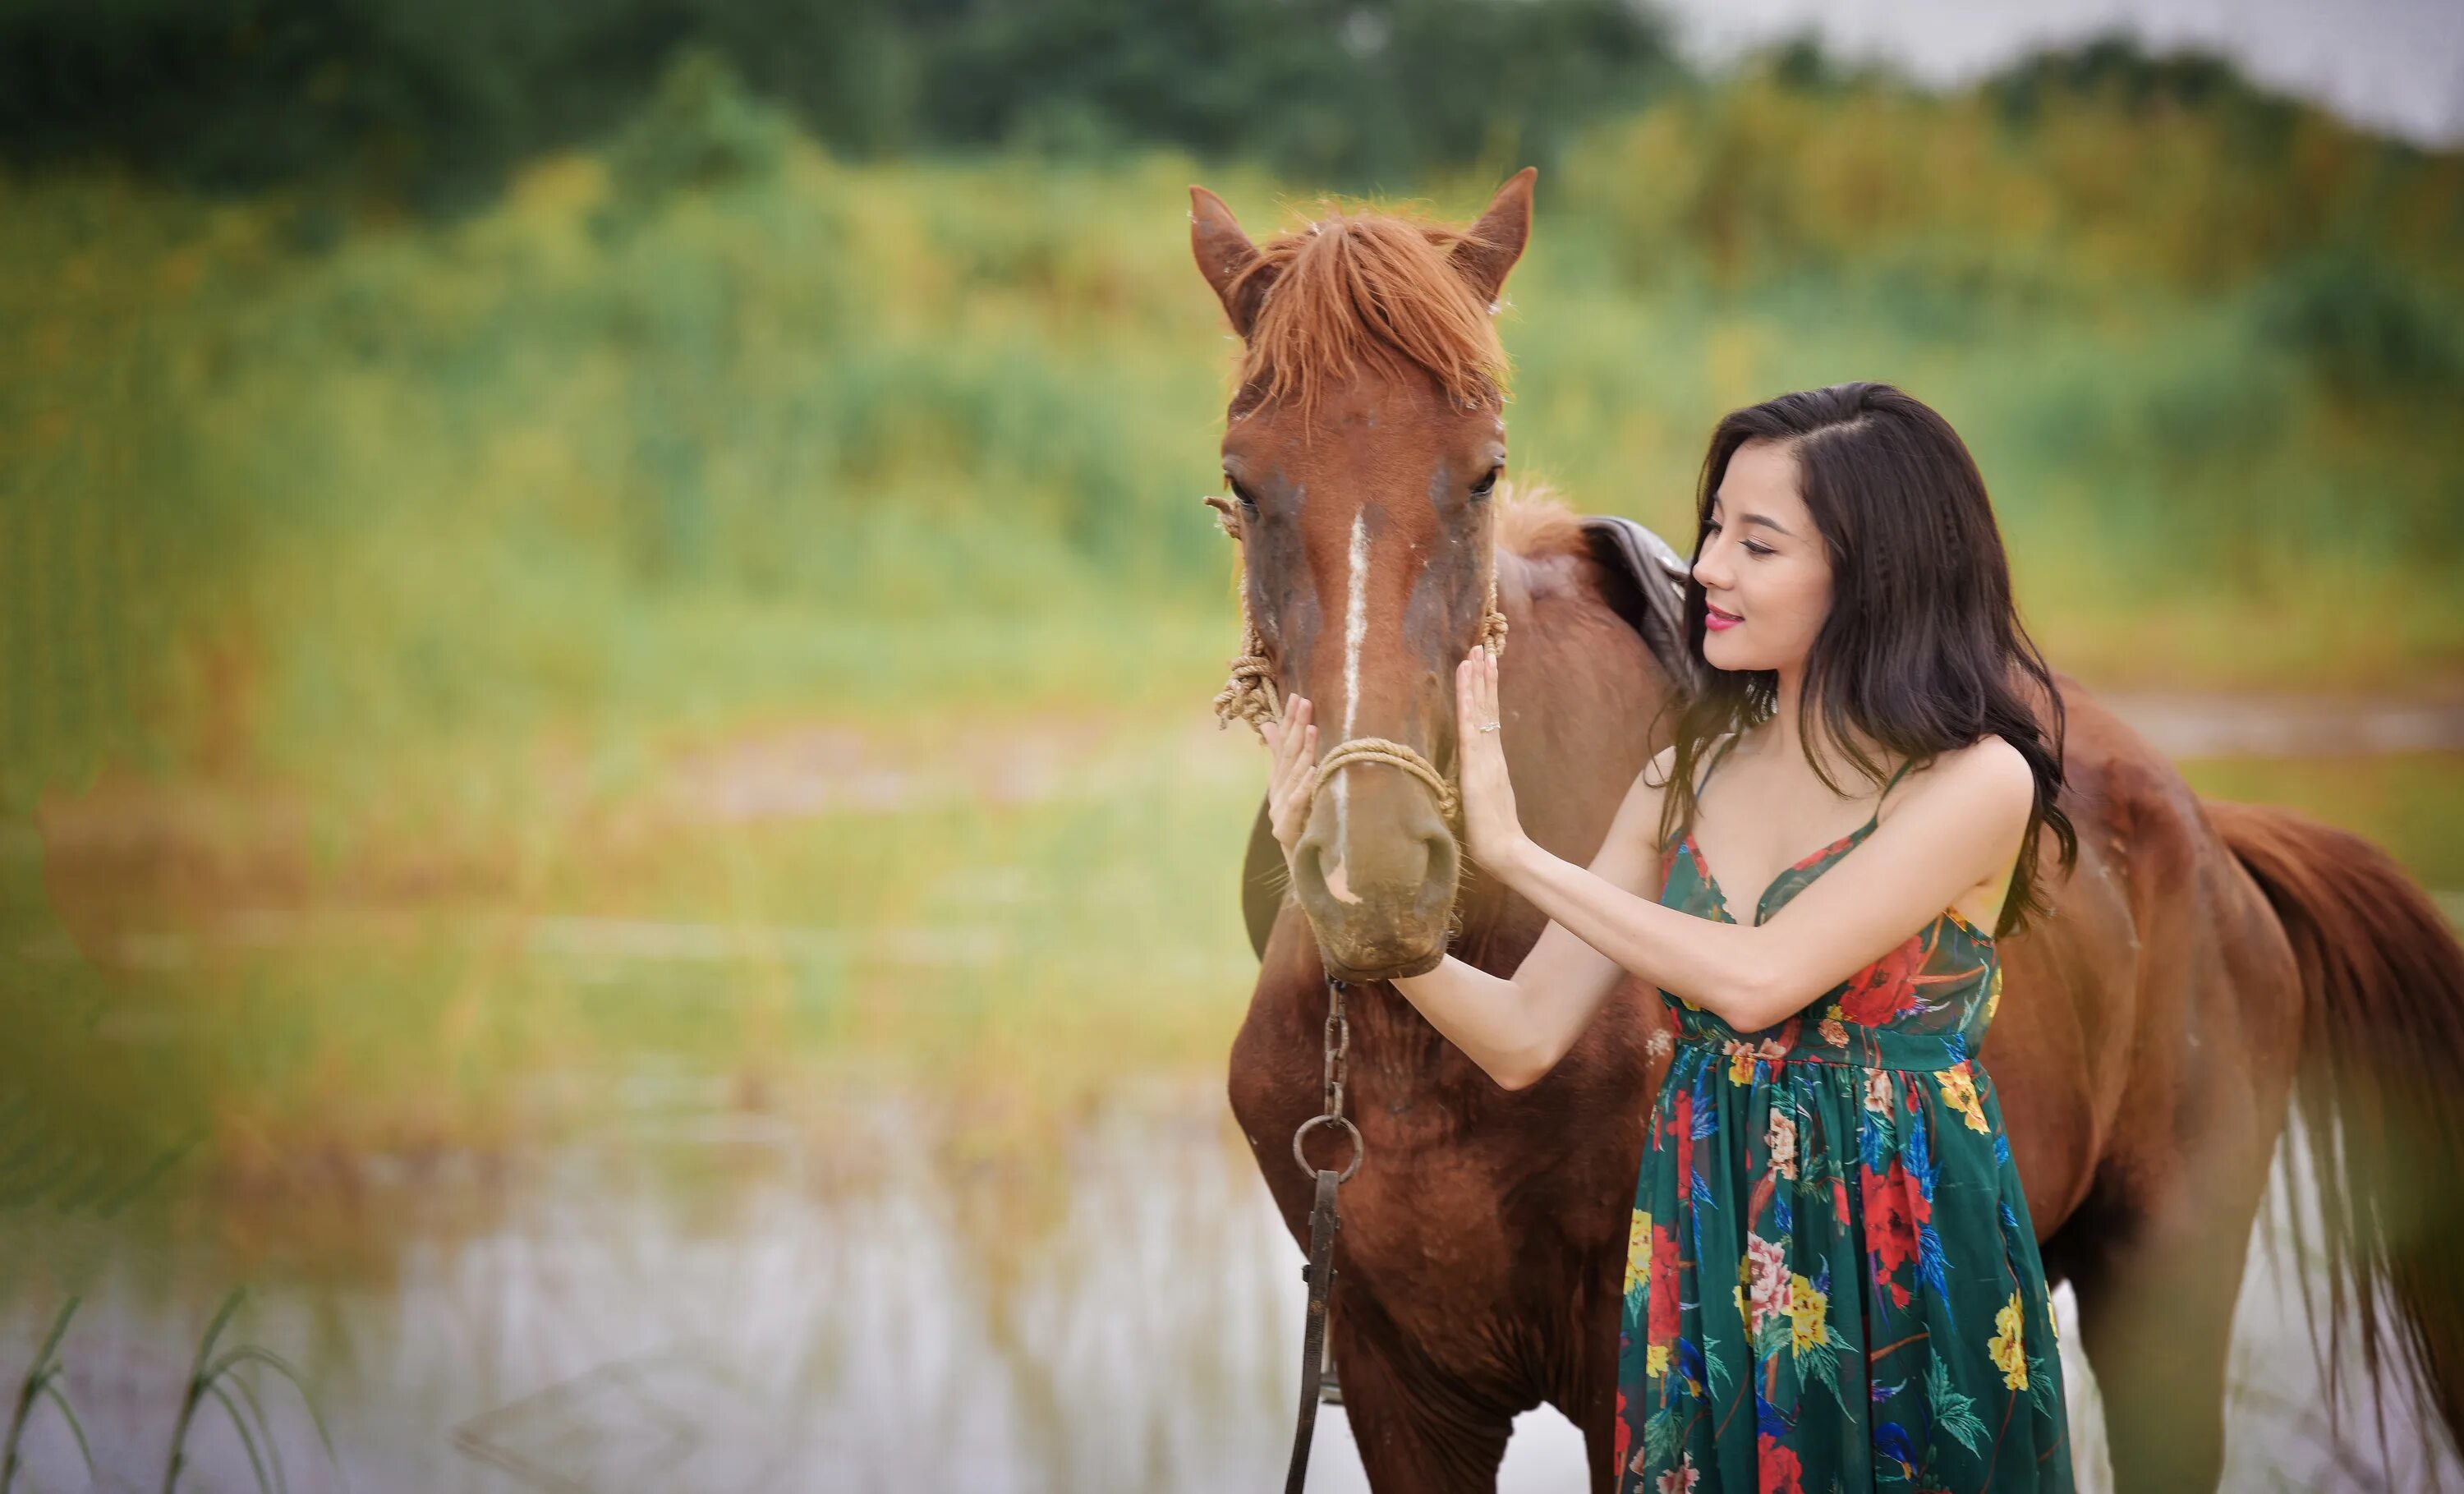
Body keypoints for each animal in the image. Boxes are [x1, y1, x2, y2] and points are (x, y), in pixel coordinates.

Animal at [1202, 166, 2464, 1494]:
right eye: (1246, 483)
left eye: (1485, 471)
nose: (1376, 869)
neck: (1413, 1056)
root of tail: (2212, 838)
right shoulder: (1402, 1390)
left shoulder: (1621, 1372)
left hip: (2162, 1291)